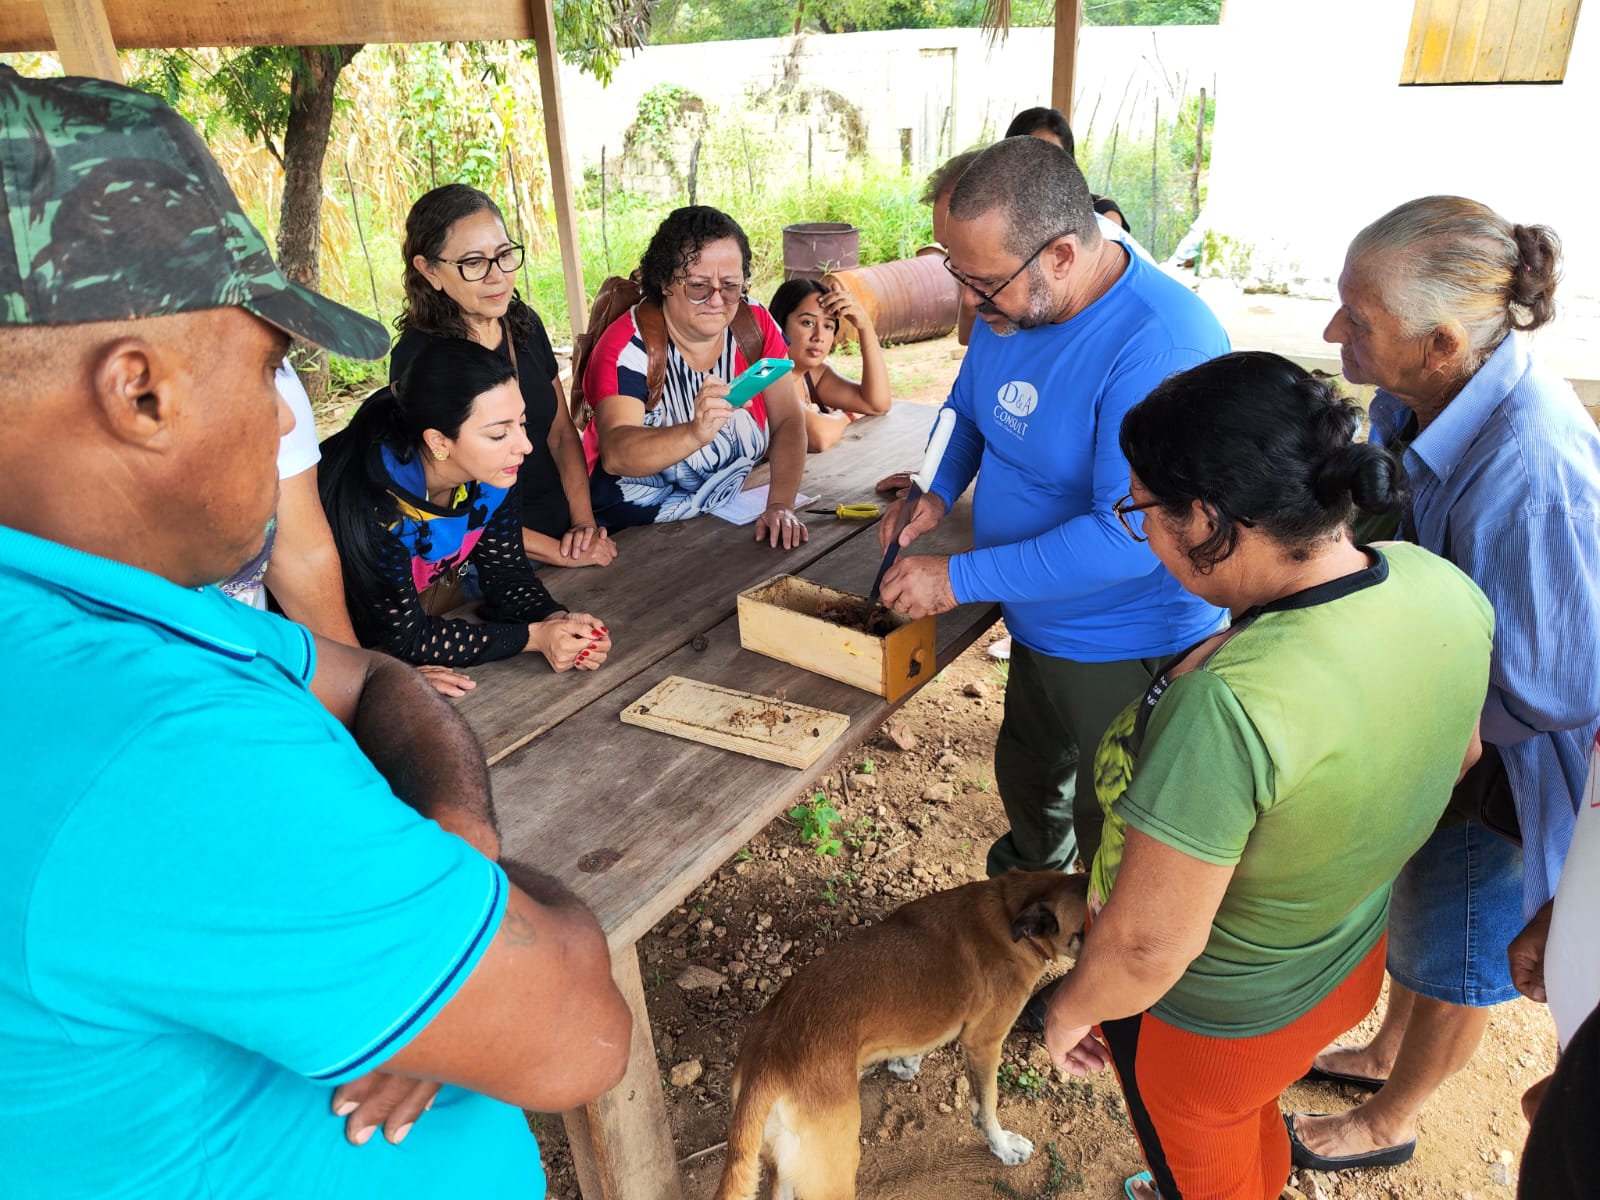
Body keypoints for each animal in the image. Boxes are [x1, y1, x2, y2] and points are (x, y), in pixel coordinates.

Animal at [713, 876, 1088, 1200]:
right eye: (1085, 929)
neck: (1009, 905)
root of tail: (767, 1063)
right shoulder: (984, 1042)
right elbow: (988, 1105)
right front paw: (1003, 1146)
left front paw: (906, 1061)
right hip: (835, 1170)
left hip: (786, 1167)